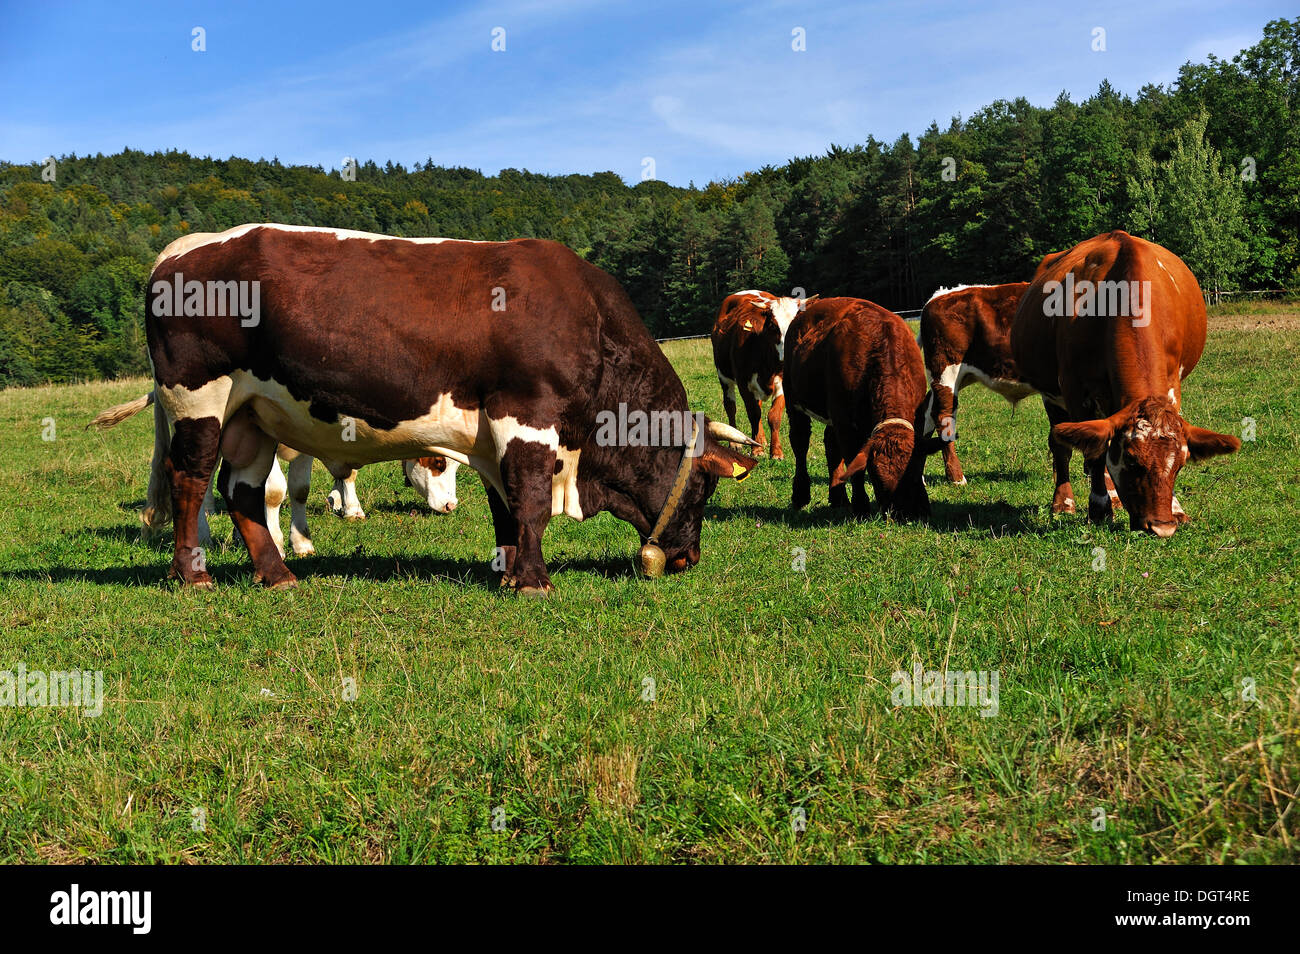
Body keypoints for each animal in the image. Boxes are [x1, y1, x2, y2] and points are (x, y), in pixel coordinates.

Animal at [129, 226, 759, 597]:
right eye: (704, 488)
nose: (687, 558)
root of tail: (181, 248)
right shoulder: (527, 415)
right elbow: (530, 499)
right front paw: (535, 582)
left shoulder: (492, 435)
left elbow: (507, 505)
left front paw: (510, 573)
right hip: (199, 402)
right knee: (189, 480)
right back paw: (193, 575)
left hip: (252, 417)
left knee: (242, 490)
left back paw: (278, 574)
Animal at [712, 291, 811, 460]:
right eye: (773, 325)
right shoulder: (744, 383)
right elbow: (753, 414)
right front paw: (756, 450)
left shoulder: (782, 383)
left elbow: (774, 416)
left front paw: (776, 452)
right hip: (724, 376)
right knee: (730, 406)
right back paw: (736, 443)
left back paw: (761, 440)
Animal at [785, 298, 930, 522]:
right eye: (876, 478)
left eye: (912, 474)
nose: (902, 513)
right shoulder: (845, 423)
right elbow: (855, 466)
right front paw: (861, 507)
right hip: (793, 398)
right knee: (800, 441)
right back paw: (800, 495)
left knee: (831, 444)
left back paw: (838, 497)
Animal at [1003, 227, 1237, 535]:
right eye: (1132, 461)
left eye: (1180, 466)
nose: (1162, 527)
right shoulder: (1074, 389)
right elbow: (1094, 451)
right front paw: (1098, 508)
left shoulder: (1172, 383)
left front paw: (1177, 508)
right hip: (1051, 394)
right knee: (1062, 445)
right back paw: (1064, 502)